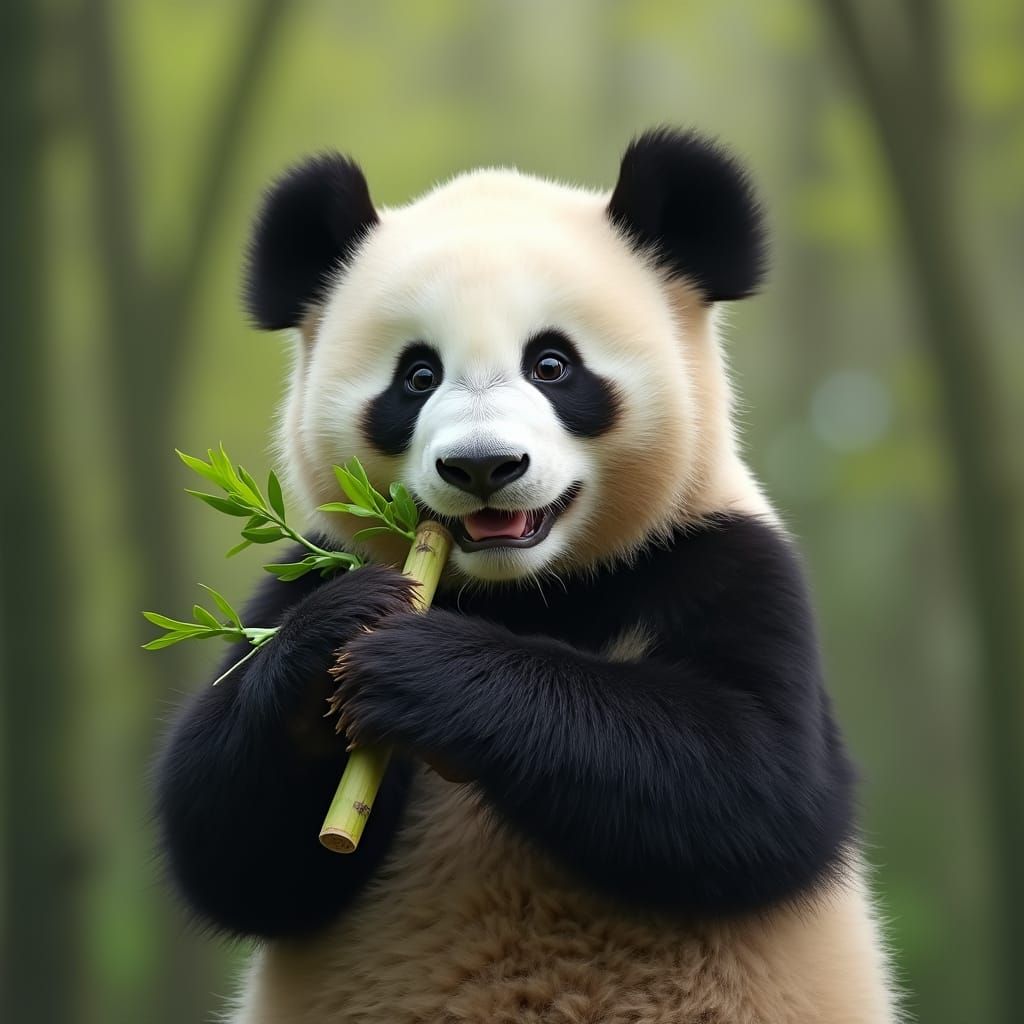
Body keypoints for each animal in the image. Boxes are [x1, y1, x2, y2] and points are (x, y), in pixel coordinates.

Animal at [155, 128, 898, 1023]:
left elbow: (761, 781)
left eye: (552, 365)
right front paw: (335, 634)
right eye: (417, 377)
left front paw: (426, 668)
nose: (483, 466)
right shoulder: (301, 568)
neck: (525, 591)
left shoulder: (726, 558)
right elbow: (232, 851)